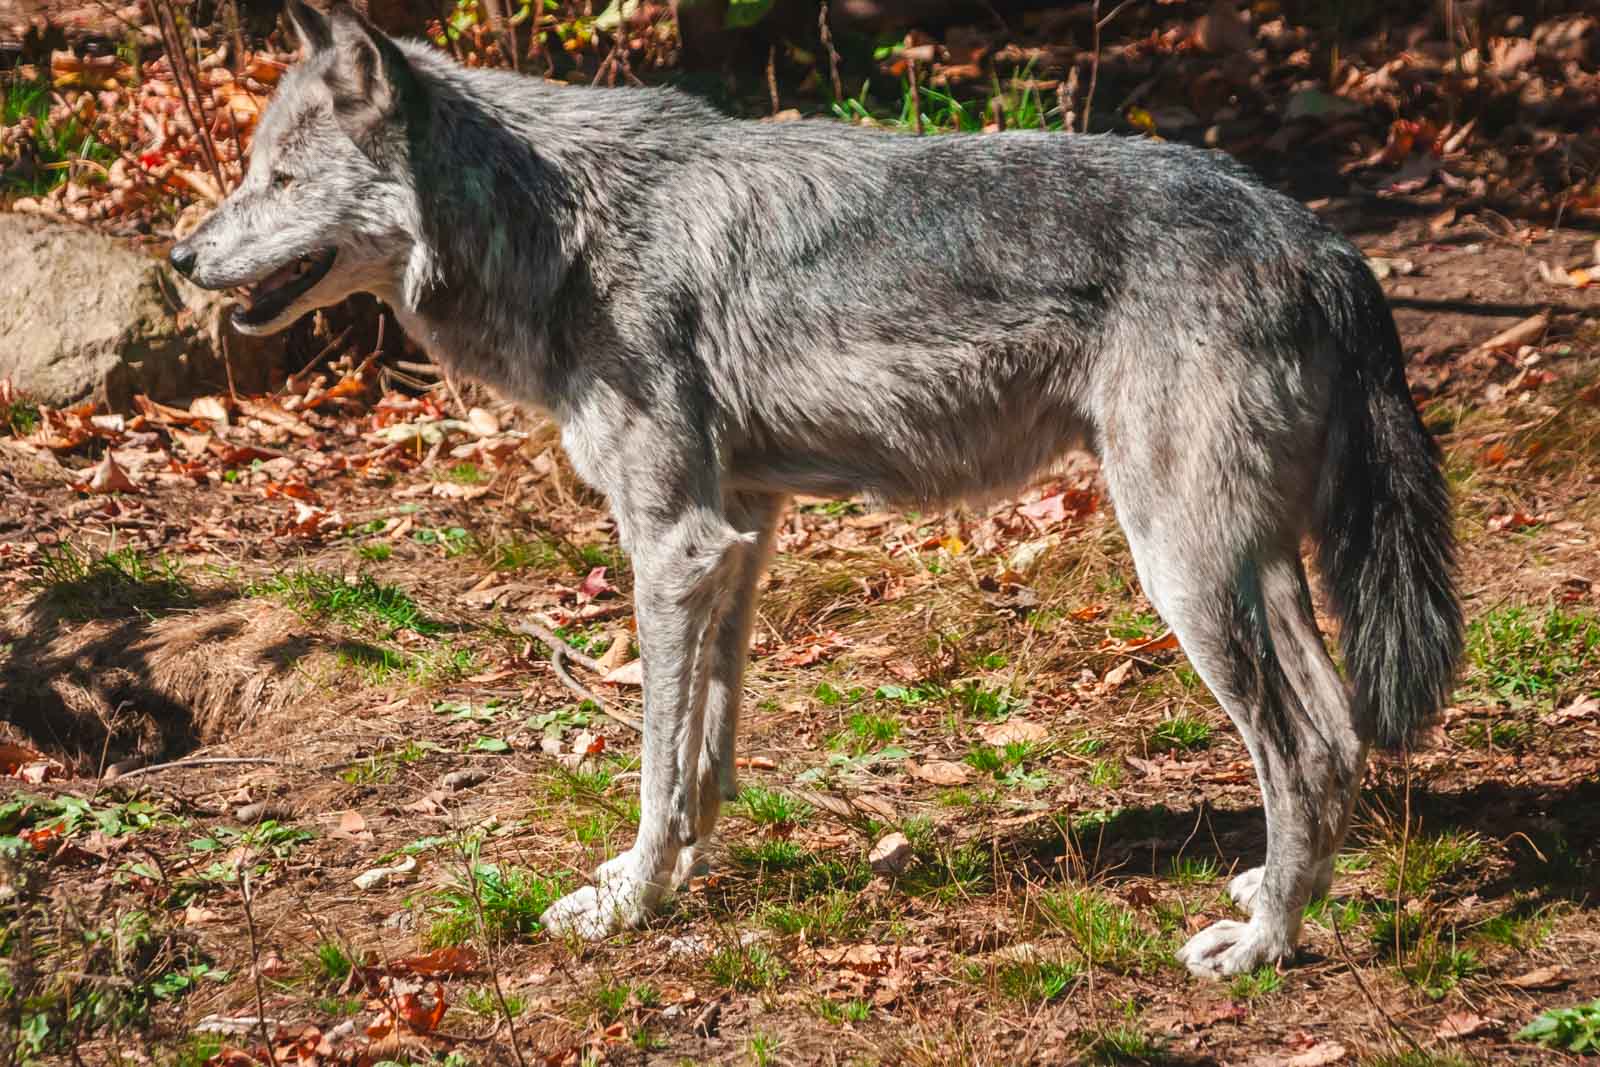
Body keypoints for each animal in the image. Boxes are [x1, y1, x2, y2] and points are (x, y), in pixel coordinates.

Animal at [172, 0, 1465, 979]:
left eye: (277, 177)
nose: (181, 256)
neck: (559, 222)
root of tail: (1320, 239)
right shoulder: (737, 532)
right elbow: (703, 749)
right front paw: (672, 873)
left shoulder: (672, 542)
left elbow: (653, 756)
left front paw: (626, 903)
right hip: (1252, 564)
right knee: (1336, 728)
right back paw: (1279, 887)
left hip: (1183, 571)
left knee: (1292, 745)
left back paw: (1262, 944)